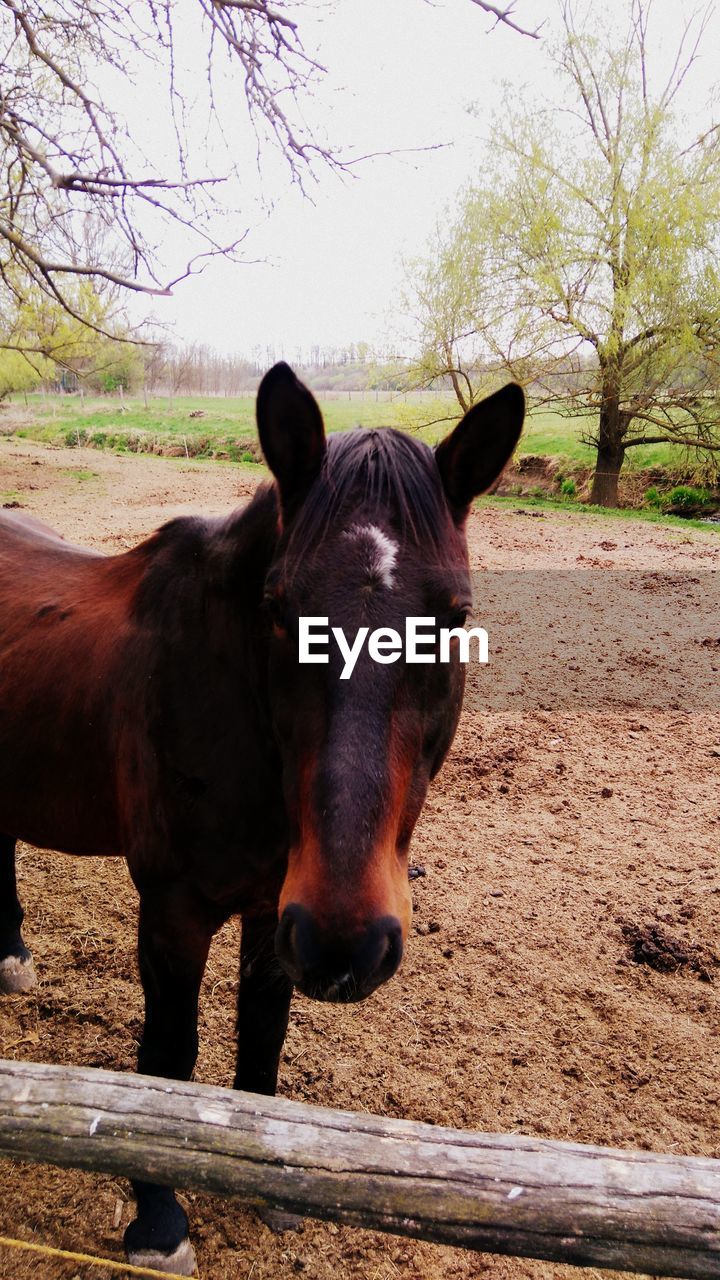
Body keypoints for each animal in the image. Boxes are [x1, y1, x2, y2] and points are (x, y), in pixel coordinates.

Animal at [0, 363, 520, 1269]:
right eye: (279, 608)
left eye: (453, 618)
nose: (350, 944)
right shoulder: (174, 910)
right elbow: (168, 1059)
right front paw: (158, 1222)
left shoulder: (278, 911)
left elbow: (262, 1039)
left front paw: (271, 1183)